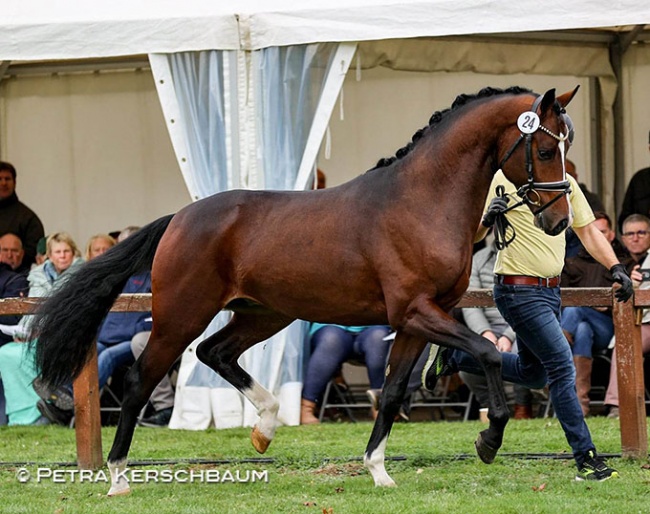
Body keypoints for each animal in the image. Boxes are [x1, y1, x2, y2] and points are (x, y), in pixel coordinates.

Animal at [33, 86, 576, 494]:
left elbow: (393, 392)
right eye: (546, 150)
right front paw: (488, 439)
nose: (558, 222)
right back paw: (118, 478)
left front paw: (378, 471)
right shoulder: (417, 312)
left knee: (215, 352)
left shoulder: (418, 319)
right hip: (181, 317)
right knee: (138, 382)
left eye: (566, 146)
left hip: (263, 314)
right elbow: (487, 352)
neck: (421, 202)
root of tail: (178, 219)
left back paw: (266, 428)